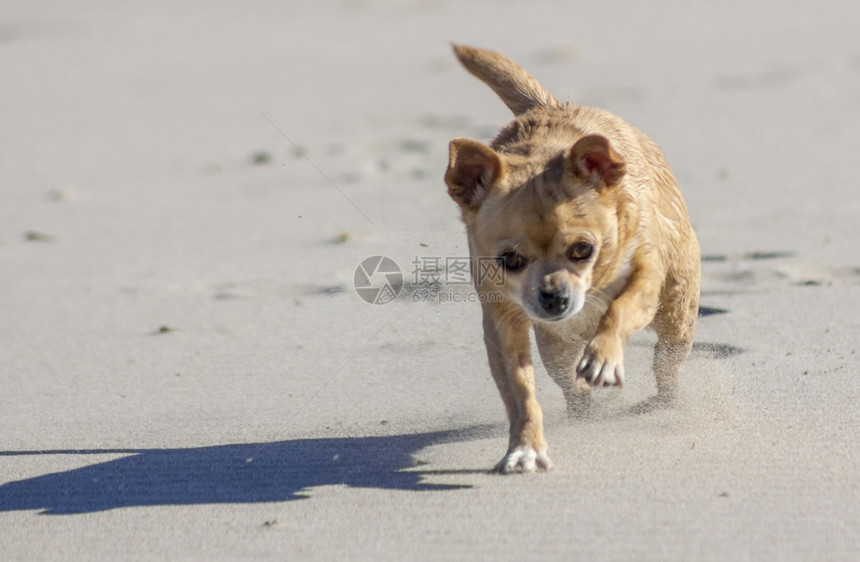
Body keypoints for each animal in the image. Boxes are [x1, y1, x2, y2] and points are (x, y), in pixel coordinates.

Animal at [446, 44, 704, 472]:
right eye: (509, 260)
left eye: (583, 250)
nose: (554, 297)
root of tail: (550, 104)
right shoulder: (502, 324)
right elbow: (521, 393)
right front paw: (526, 447)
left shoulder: (645, 274)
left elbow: (619, 309)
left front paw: (603, 357)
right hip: (556, 347)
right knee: (571, 384)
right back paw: (586, 413)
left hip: (676, 310)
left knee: (667, 360)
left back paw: (663, 402)